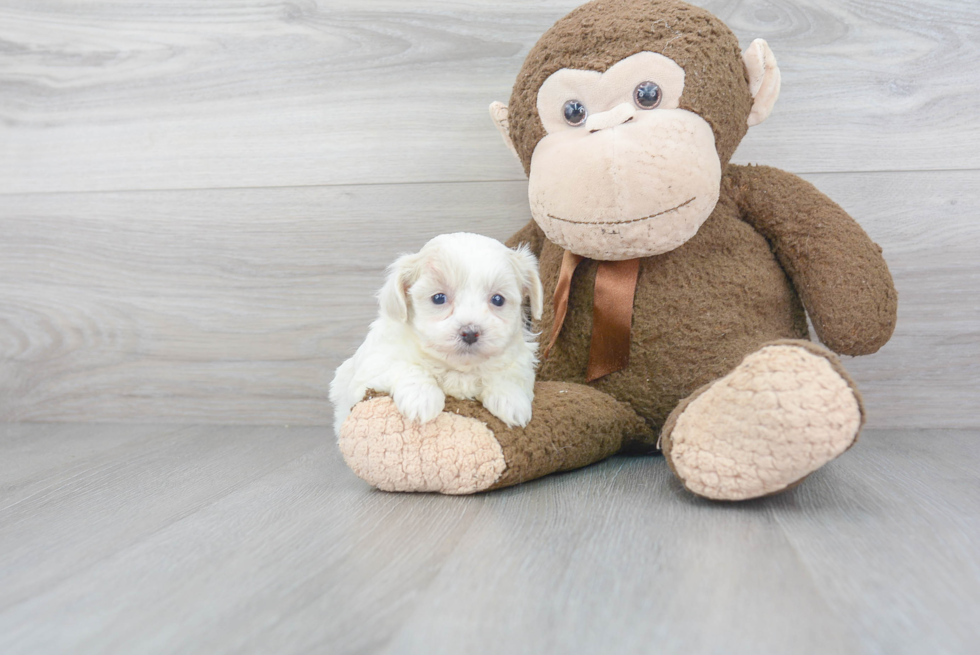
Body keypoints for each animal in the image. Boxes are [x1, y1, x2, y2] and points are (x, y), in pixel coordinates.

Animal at [330, 233, 544, 438]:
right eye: (439, 298)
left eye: (498, 300)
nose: (470, 332)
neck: (457, 369)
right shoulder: (373, 365)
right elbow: (406, 367)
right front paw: (421, 398)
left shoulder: (522, 362)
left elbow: (511, 375)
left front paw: (511, 399)